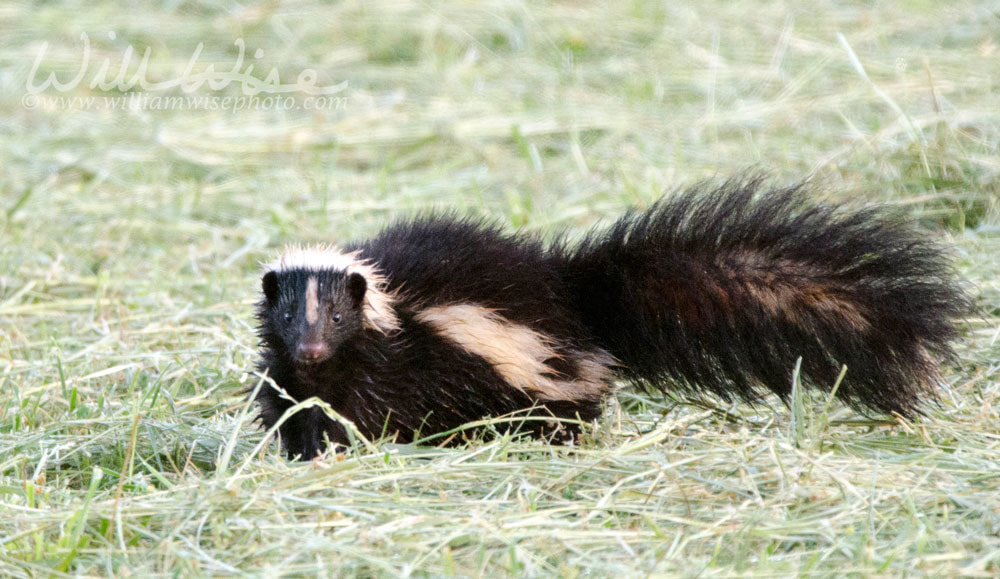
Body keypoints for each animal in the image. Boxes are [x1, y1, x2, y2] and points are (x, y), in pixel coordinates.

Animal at [254, 179, 972, 460]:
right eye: (289, 313)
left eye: (338, 315)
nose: (312, 349)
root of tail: (572, 286)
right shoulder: (288, 373)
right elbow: (290, 406)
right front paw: (302, 449)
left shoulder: (403, 359)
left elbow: (373, 409)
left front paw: (347, 445)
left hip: (542, 380)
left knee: (560, 411)